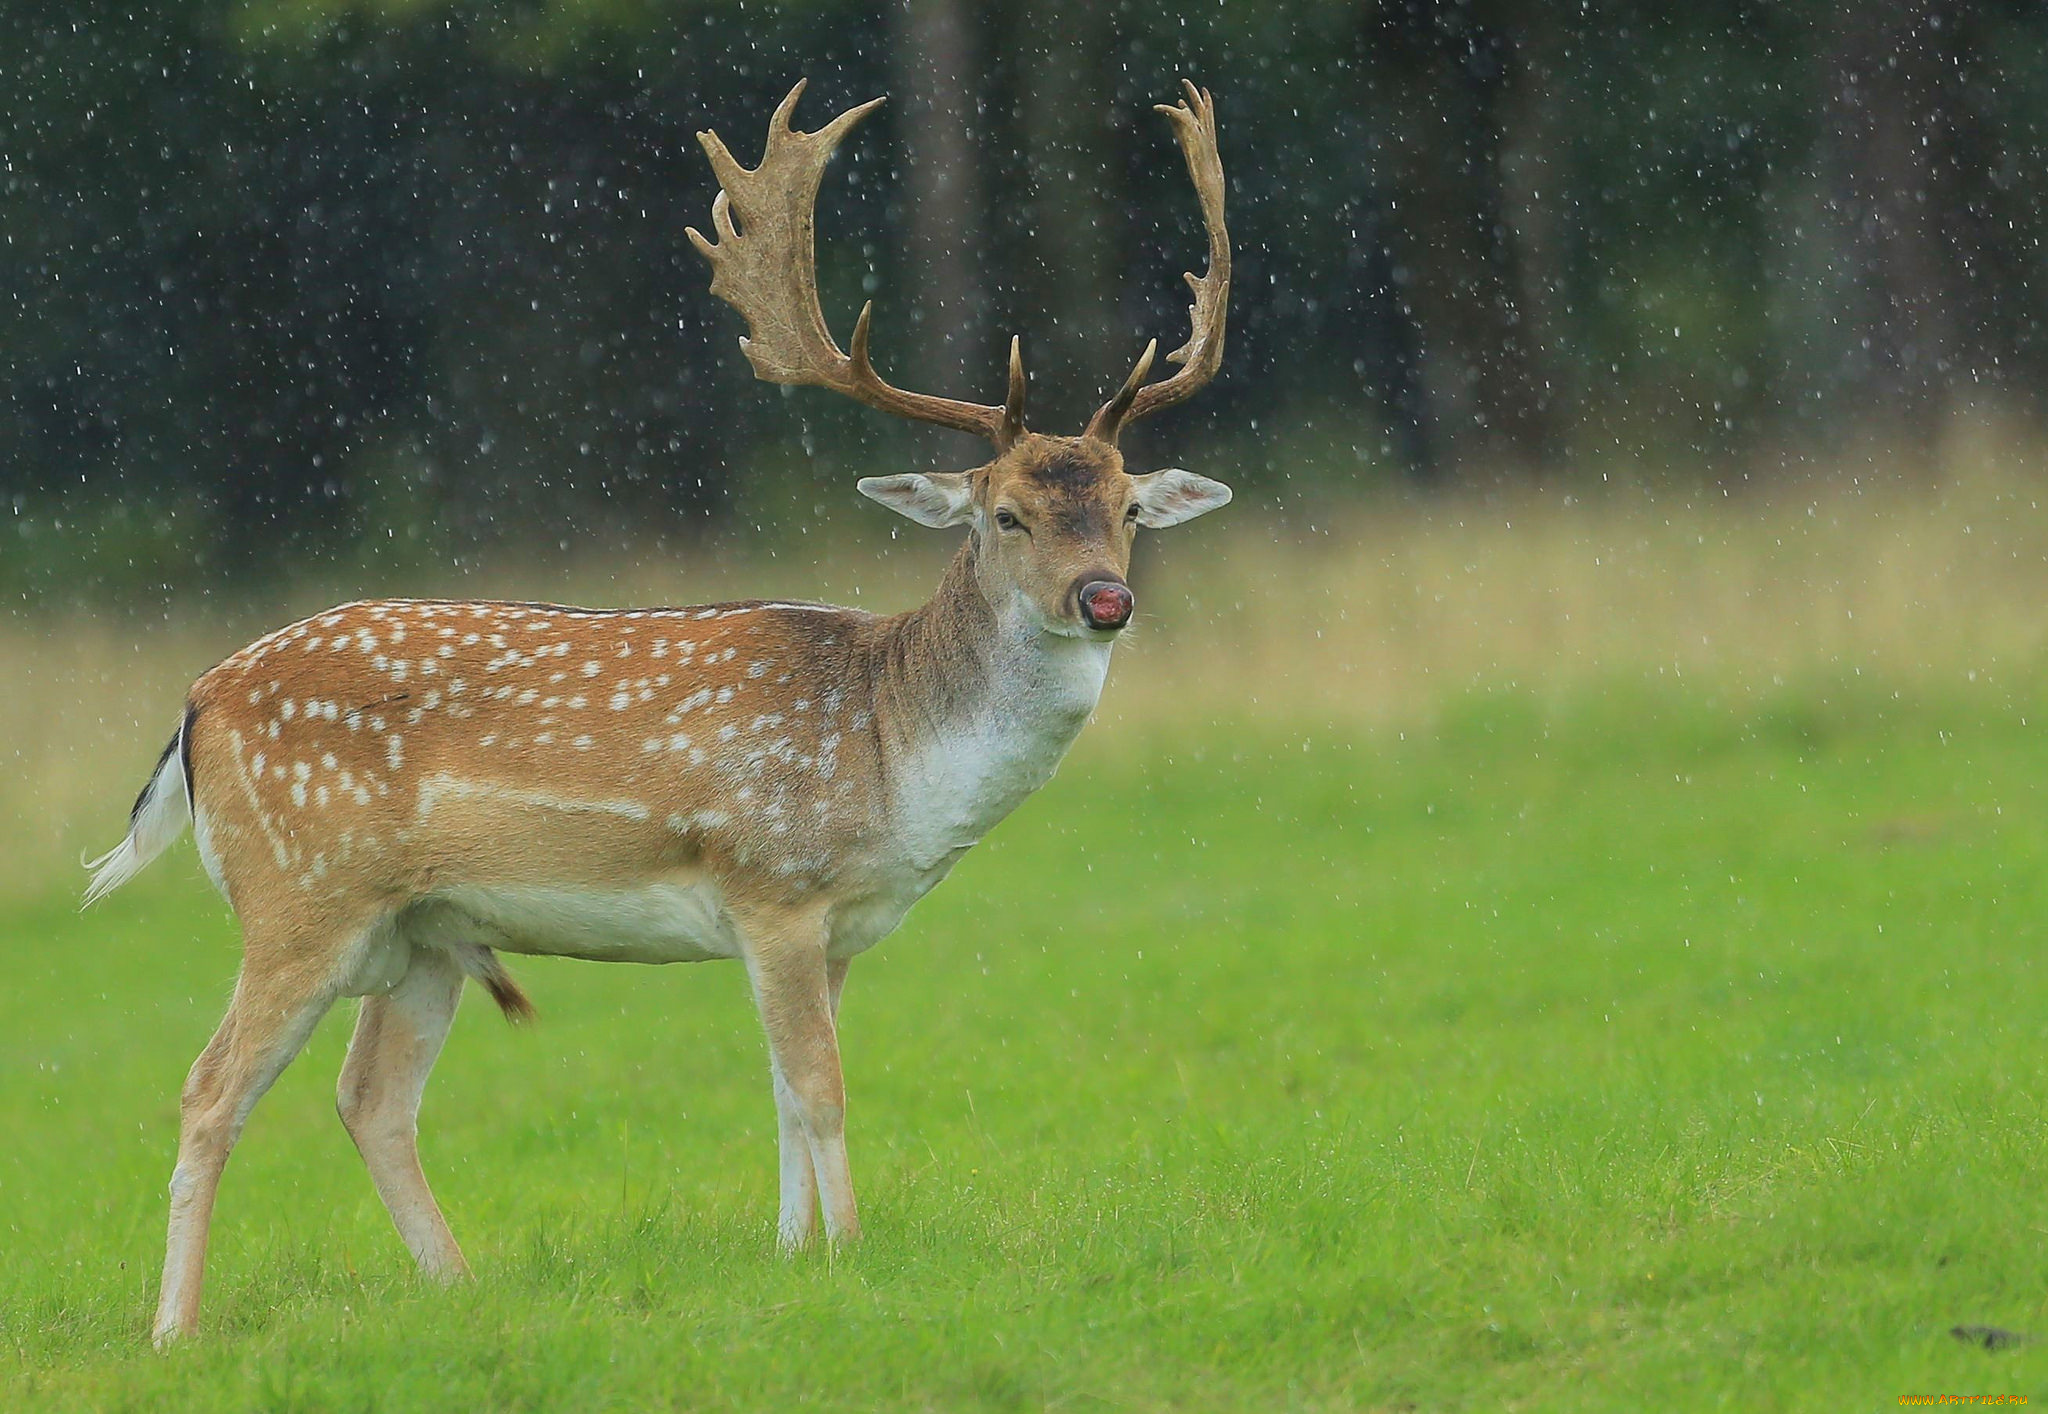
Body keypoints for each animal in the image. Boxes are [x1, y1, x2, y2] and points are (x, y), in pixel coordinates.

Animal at [83, 76, 1228, 1344]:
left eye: (1126, 507)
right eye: (1006, 513)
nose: (1105, 598)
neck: (890, 753)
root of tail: (196, 702)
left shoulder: (832, 926)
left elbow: (782, 1091)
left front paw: (792, 1254)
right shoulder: (772, 883)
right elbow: (819, 1089)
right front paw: (850, 1251)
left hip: (422, 929)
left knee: (369, 1095)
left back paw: (459, 1288)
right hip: (299, 897)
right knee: (209, 1088)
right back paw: (174, 1331)